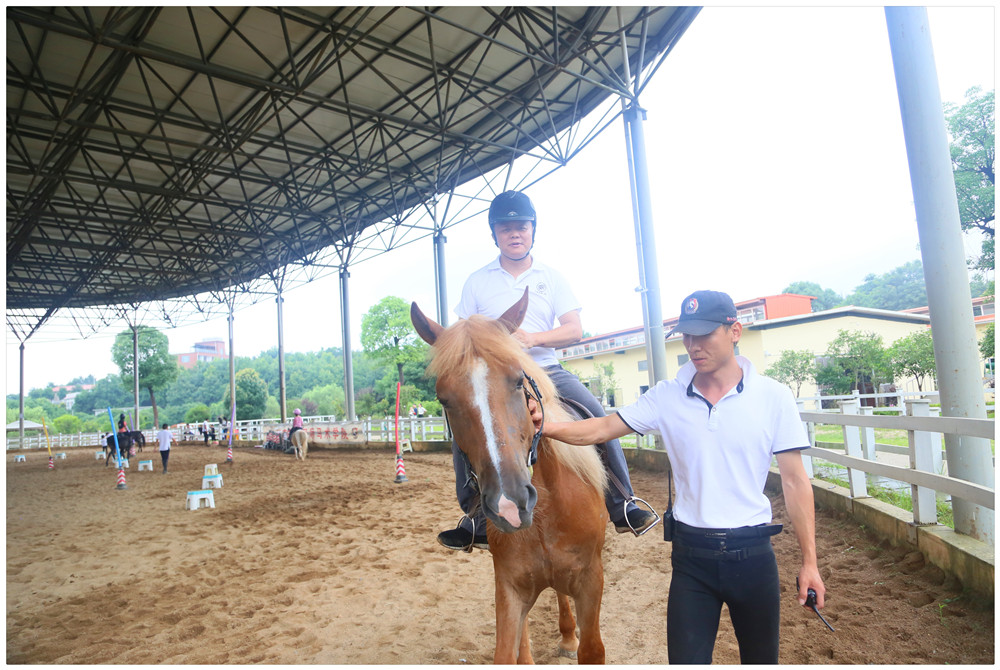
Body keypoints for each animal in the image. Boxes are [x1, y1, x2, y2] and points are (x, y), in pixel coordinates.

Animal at [408, 292, 608, 664]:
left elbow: (592, 649)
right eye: (444, 399)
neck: (546, 517)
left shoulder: (590, 578)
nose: (510, 504)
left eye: (518, 380)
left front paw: (576, 640)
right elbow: (506, 650)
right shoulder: (510, 585)